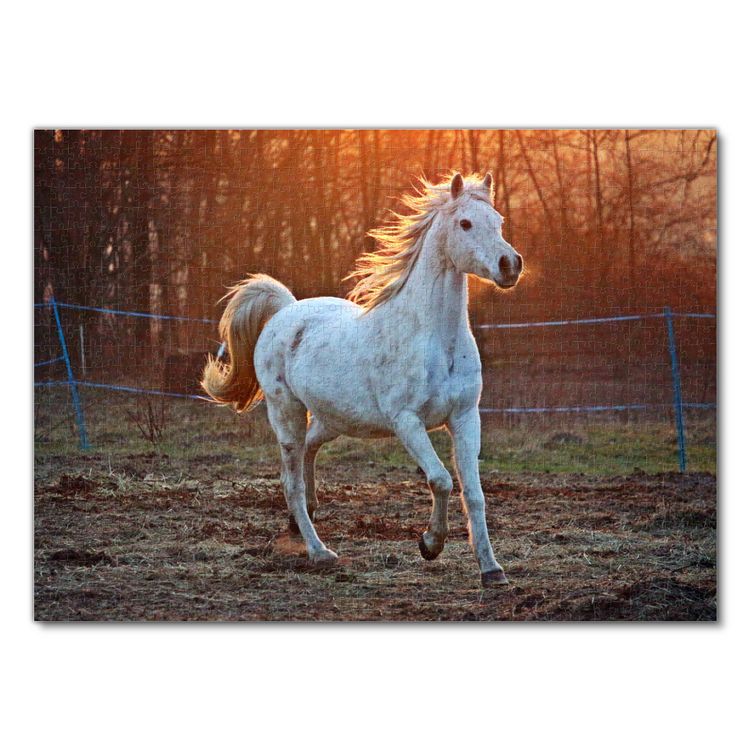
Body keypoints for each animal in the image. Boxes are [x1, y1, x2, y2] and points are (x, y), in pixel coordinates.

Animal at [201, 172, 524, 587]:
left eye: (498, 221)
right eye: (465, 223)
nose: (510, 265)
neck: (435, 339)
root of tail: (286, 310)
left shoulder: (466, 417)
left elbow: (474, 493)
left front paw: (491, 570)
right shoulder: (407, 421)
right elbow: (441, 480)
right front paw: (430, 544)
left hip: (333, 419)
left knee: (308, 452)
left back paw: (301, 521)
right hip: (286, 413)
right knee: (291, 480)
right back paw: (320, 551)